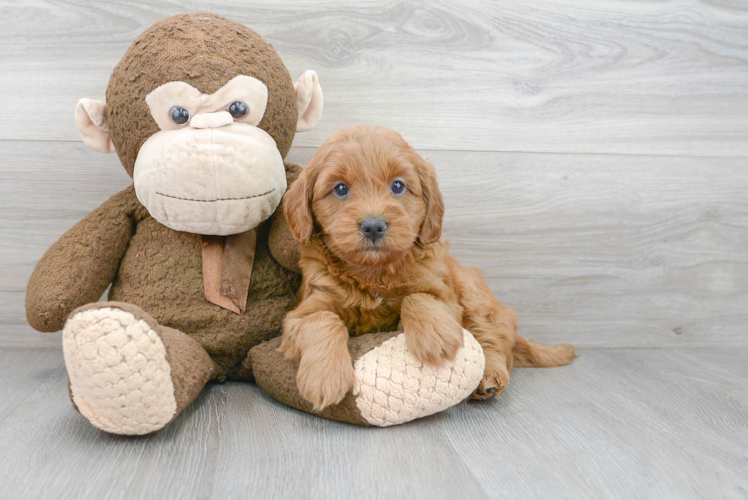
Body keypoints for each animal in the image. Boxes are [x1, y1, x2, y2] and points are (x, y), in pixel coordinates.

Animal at [280, 125, 572, 410]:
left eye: (398, 186)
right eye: (341, 189)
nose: (373, 226)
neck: (375, 275)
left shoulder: (444, 296)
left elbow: (418, 297)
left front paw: (435, 339)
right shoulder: (303, 311)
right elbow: (322, 319)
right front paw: (324, 377)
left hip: (474, 295)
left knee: (494, 341)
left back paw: (489, 378)